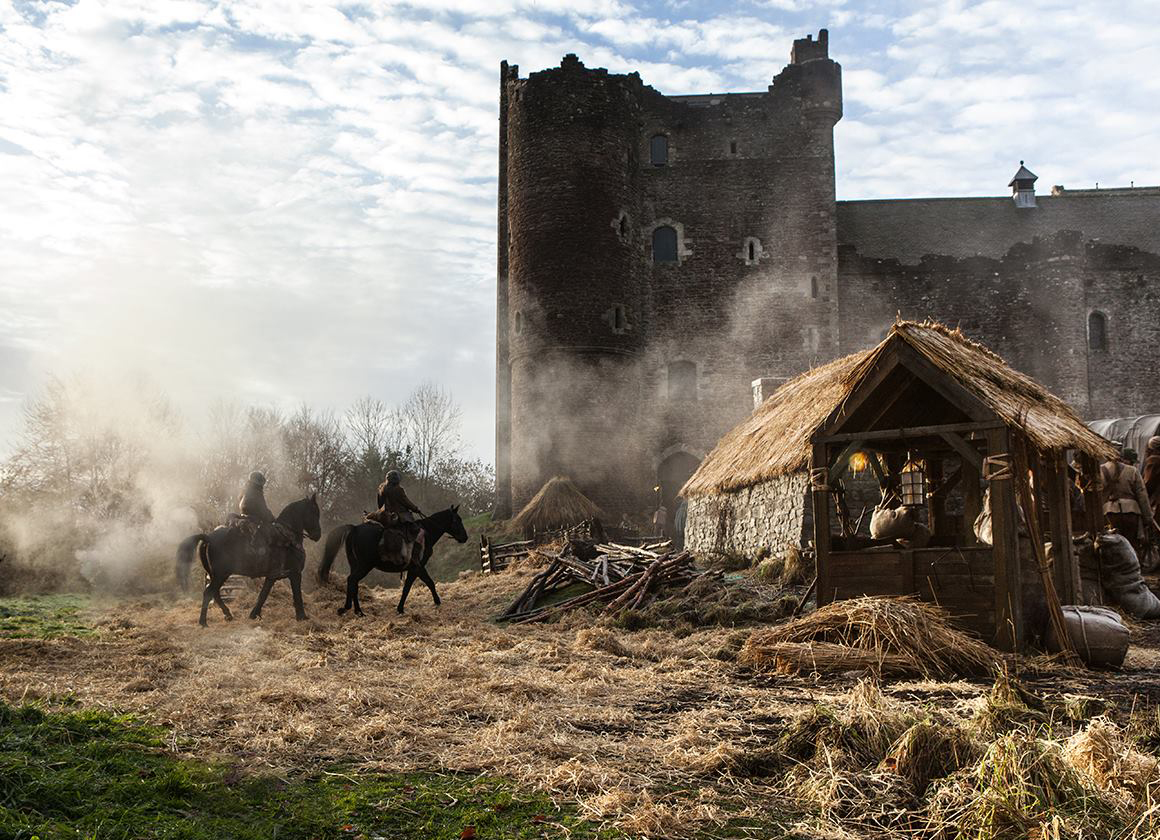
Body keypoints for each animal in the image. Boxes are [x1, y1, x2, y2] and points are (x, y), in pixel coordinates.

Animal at [171, 496, 320, 626]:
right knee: (209, 593)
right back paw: (203, 622)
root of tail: (209, 537)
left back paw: (228, 615)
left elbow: (263, 595)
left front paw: (254, 614)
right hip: (221, 574)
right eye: (315, 512)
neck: (288, 537)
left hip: (217, 575)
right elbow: (297, 595)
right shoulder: (295, 574)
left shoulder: (272, 577)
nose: (317, 535)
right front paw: (302, 617)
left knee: (215, 593)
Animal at [320, 505, 468, 617]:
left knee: (353, 583)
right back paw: (350, 608)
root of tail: (355, 528)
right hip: (364, 566)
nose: (465, 537)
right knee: (352, 580)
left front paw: (400, 609)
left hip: (356, 565)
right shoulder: (418, 567)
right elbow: (429, 583)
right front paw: (437, 602)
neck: (426, 533)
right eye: (457, 520)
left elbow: (407, 588)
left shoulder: (413, 569)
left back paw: (357, 611)